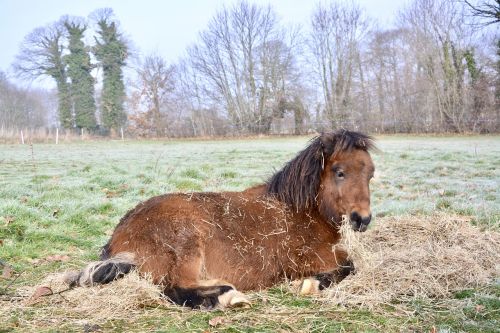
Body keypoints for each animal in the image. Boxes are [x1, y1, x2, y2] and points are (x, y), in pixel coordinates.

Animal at [69, 130, 376, 308]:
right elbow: (350, 266)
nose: (362, 219)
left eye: (370, 174)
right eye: (339, 172)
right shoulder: (310, 258)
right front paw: (311, 284)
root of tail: (120, 236)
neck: (300, 211)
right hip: (188, 245)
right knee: (174, 289)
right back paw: (228, 295)